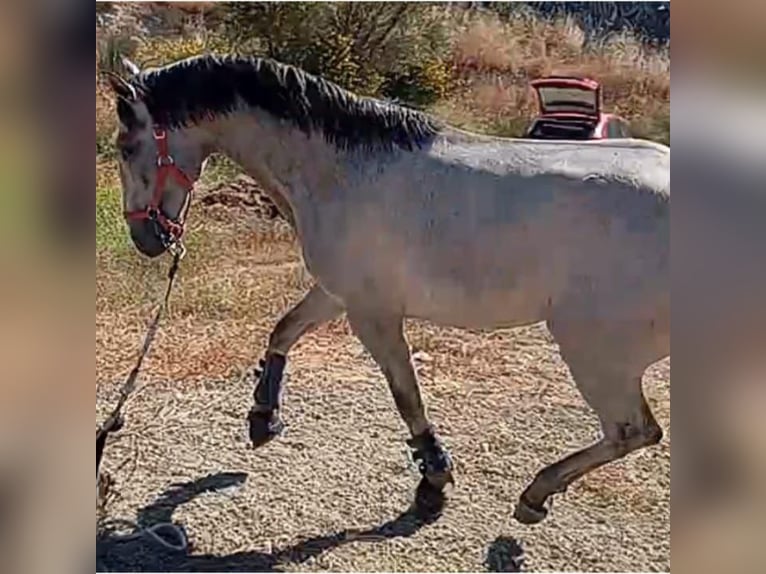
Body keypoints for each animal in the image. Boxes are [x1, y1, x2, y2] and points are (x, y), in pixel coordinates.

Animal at [105, 55, 668, 528]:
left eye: (126, 147)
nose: (145, 238)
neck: (343, 169)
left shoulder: (373, 314)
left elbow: (406, 396)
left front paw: (433, 481)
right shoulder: (338, 294)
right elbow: (283, 331)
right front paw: (263, 418)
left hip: (595, 353)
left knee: (633, 431)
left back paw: (535, 494)